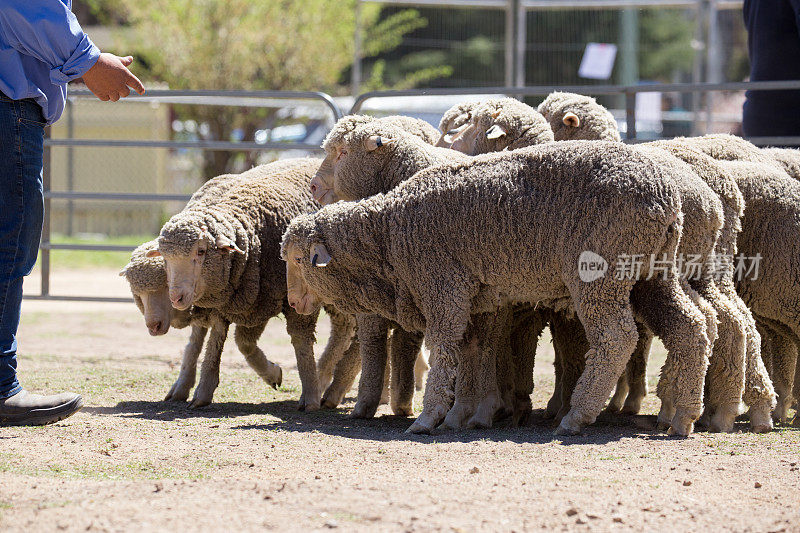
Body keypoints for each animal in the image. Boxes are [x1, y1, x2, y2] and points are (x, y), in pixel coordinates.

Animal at [282, 139, 712, 434]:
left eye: (299, 259)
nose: (293, 301)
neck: (387, 233)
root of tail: (666, 195)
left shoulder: (443, 288)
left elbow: (444, 351)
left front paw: (428, 418)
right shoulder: (478, 300)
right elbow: (472, 351)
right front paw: (461, 415)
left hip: (600, 274)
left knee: (617, 338)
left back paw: (577, 415)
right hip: (652, 274)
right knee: (691, 327)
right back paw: (684, 416)